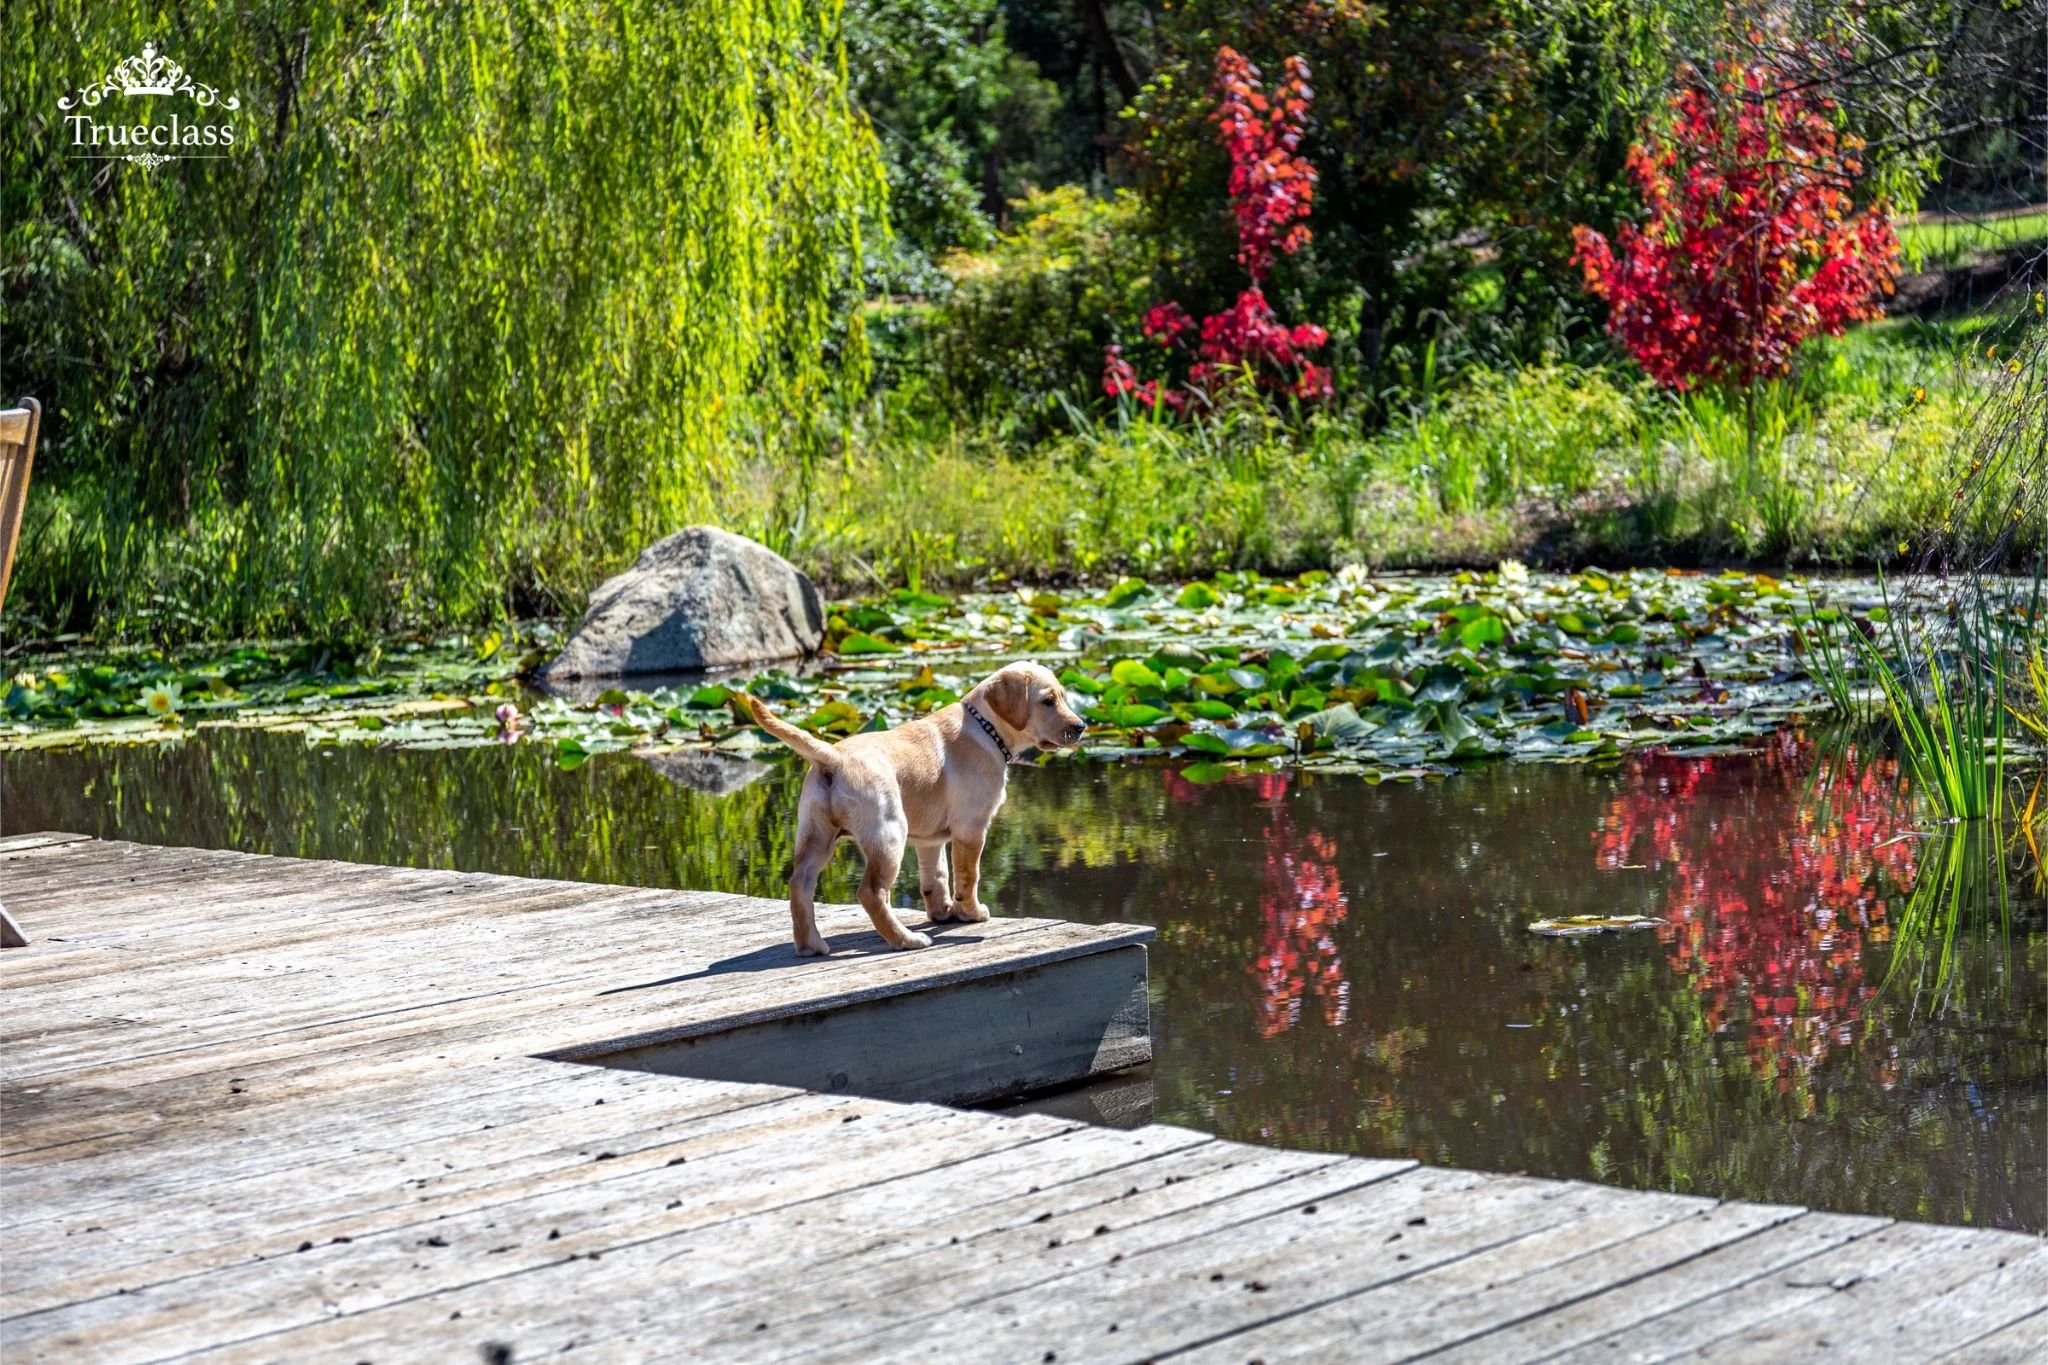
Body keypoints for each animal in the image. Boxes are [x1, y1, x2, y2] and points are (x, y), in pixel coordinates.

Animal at [745, 663, 1087, 955]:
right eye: (1048, 701)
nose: (1081, 726)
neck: (986, 727)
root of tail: (834, 757)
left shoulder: (930, 840)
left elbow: (936, 877)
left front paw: (943, 912)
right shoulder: (972, 828)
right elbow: (968, 876)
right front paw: (971, 912)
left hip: (816, 835)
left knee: (799, 885)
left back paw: (810, 946)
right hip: (889, 834)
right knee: (872, 893)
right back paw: (906, 940)